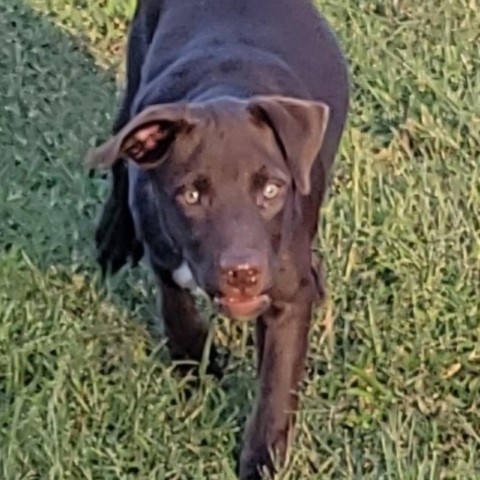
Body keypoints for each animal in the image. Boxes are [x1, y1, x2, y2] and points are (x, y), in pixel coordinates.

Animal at [86, 1, 348, 478]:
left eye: (271, 190)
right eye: (191, 196)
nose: (242, 273)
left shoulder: (288, 294)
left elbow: (276, 385)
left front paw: (262, 462)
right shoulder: (161, 244)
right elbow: (176, 307)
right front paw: (196, 363)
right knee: (118, 158)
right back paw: (114, 241)